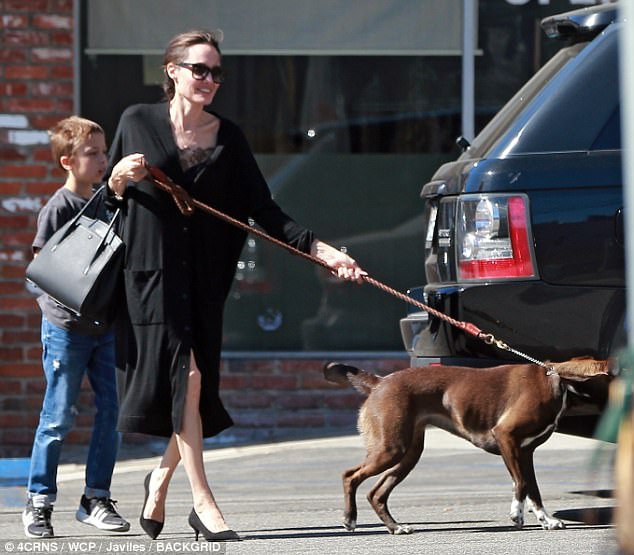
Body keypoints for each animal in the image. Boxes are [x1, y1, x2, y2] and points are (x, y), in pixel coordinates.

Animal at [324, 358, 608, 536]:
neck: (558, 381)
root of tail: (380, 382)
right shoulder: (506, 437)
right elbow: (522, 484)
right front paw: (516, 514)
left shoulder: (525, 453)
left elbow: (533, 490)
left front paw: (545, 520)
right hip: (391, 448)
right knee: (350, 476)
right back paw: (350, 518)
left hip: (408, 454)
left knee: (377, 493)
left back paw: (396, 527)